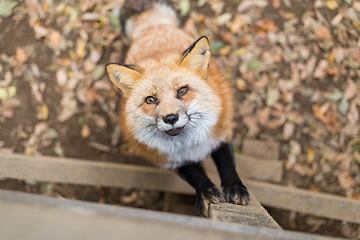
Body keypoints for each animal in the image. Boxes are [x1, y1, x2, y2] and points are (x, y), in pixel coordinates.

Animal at [105, 0, 249, 218]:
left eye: (182, 90)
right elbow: (196, 177)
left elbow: (228, 164)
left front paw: (235, 187)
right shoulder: (171, 161)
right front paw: (205, 193)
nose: (171, 118)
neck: (189, 145)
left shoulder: (220, 134)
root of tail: (153, 26)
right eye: (150, 99)